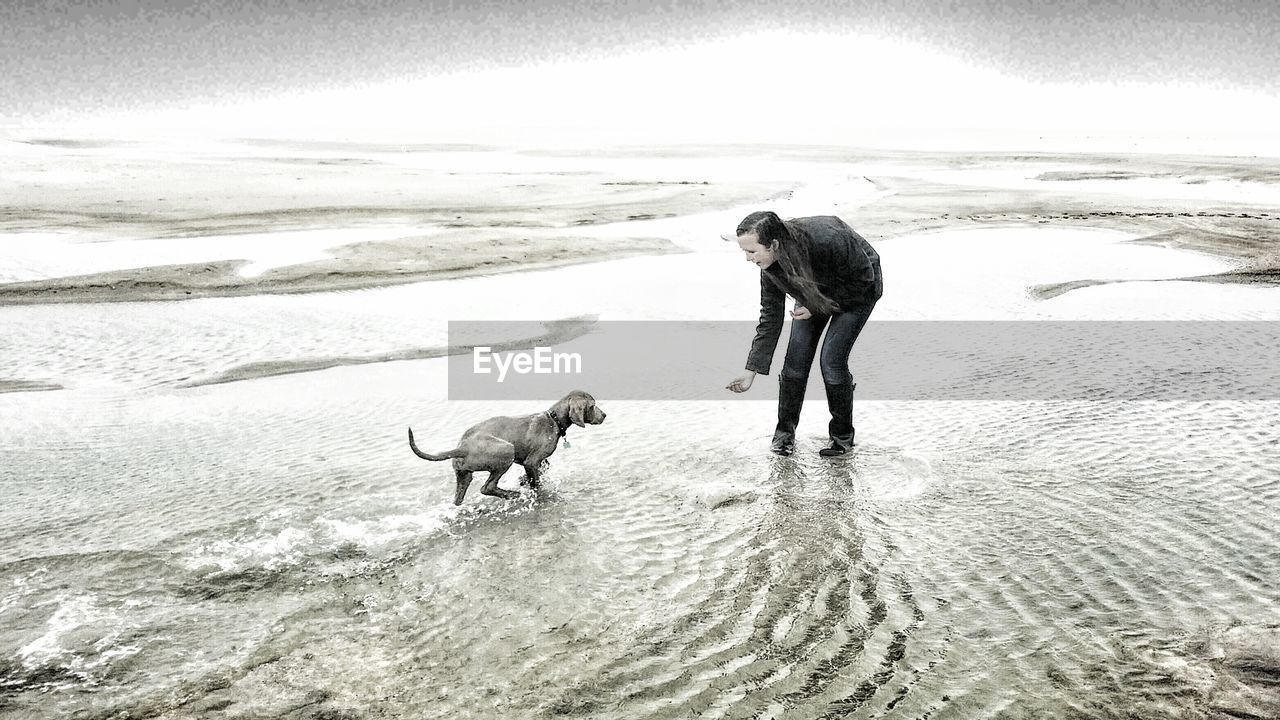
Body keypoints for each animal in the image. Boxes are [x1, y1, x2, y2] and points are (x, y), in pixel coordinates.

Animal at [412, 389, 606, 502]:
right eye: (592, 405)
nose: (604, 415)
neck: (554, 420)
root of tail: (463, 446)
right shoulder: (531, 461)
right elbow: (536, 483)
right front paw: (534, 491)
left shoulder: (533, 461)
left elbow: (541, 470)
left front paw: (523, 481)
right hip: (506, 452)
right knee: (487, 487)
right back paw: (512, 494)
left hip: (464, 476)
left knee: (459, 499)